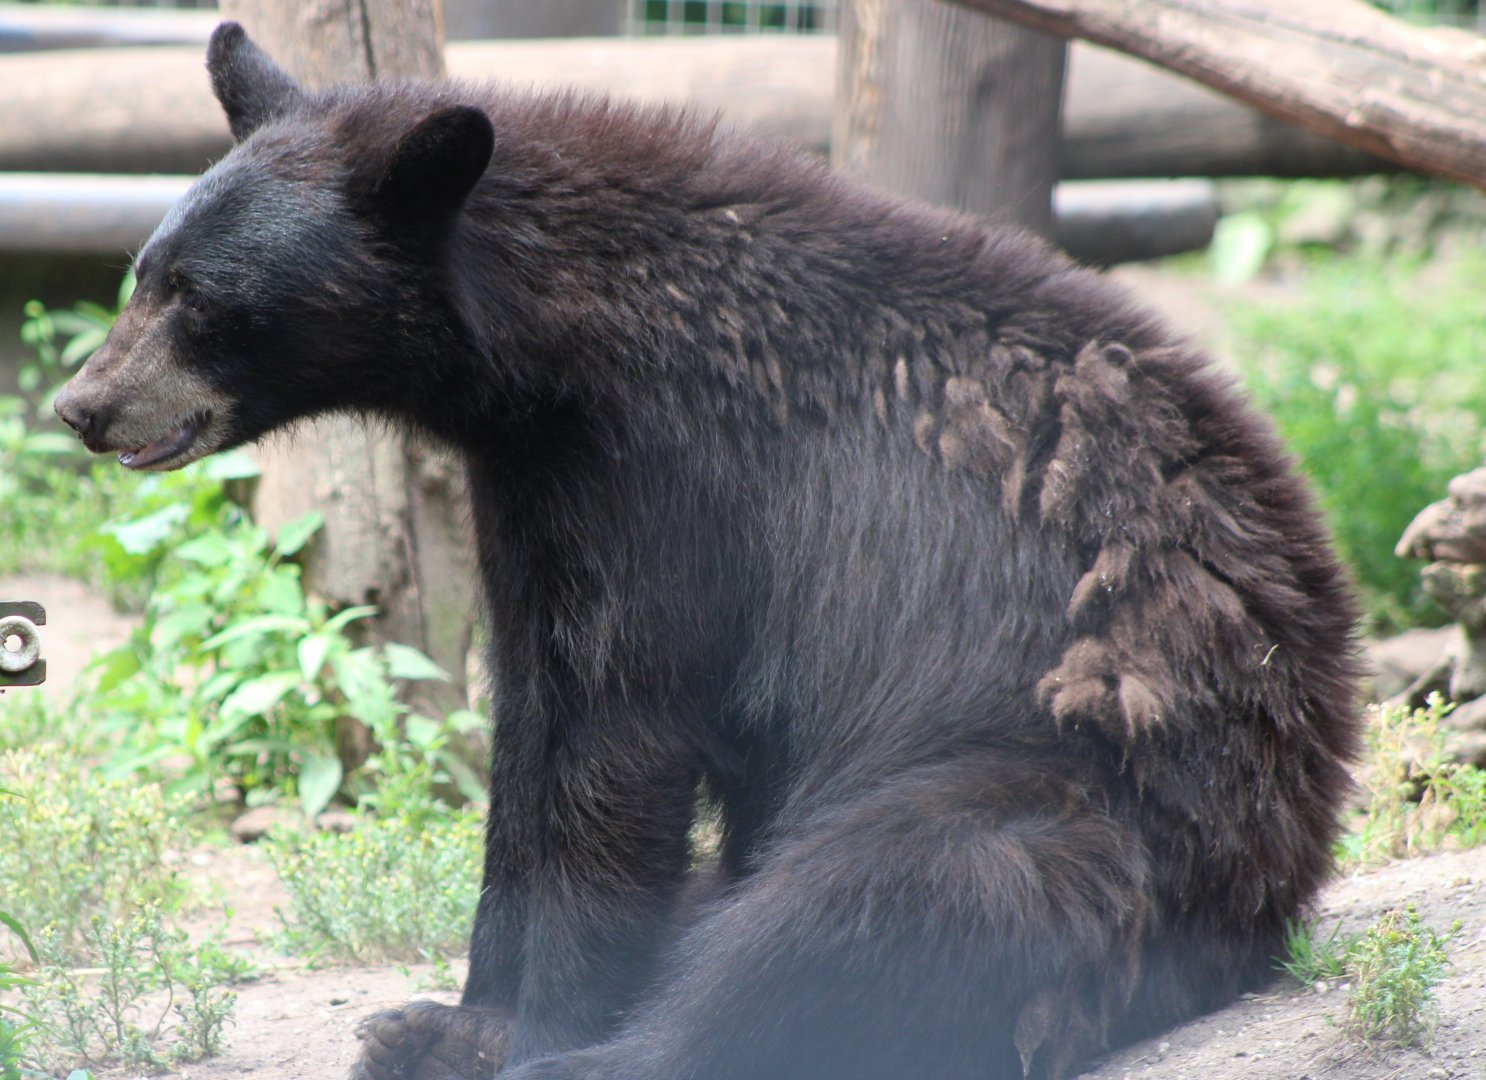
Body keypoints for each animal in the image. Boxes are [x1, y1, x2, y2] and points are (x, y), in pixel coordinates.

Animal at [54, 22, 1361, 1080]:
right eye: (141, 272)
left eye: (199, 298)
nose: (81, 406)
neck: (554, 353)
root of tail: (1280, 871)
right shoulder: (535, 493)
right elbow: (531, 731)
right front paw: (472, 1014)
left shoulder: (677, 480)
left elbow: (616, 736)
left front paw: (533, 1031)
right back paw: (414, 1030)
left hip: (1074, 790)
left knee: (857, 906)